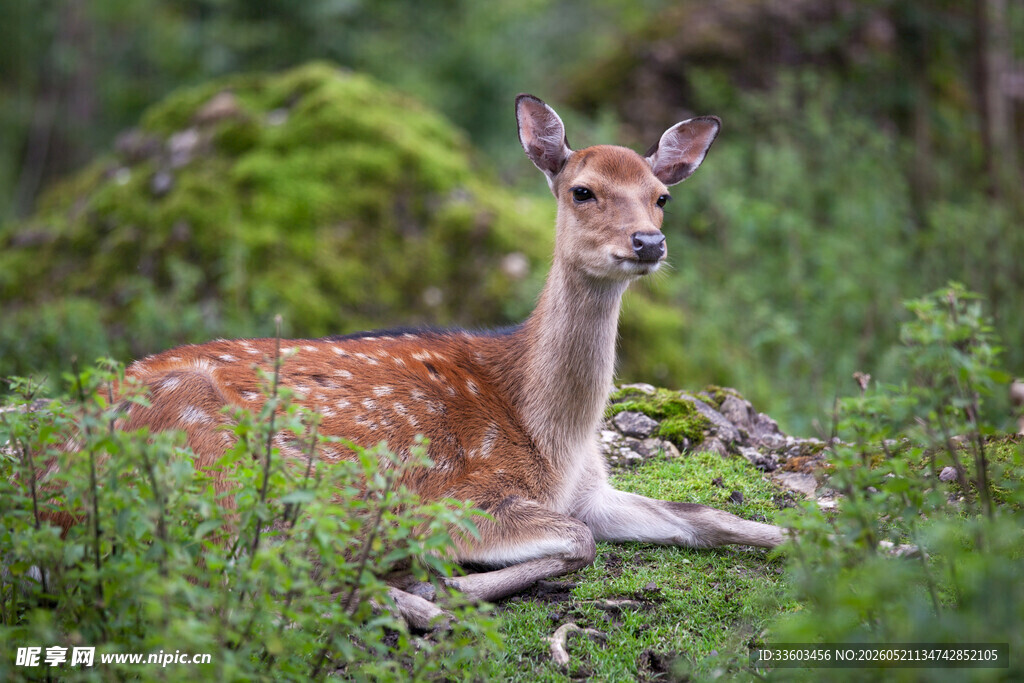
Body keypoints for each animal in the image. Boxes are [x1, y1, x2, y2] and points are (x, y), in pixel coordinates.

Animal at [103, 94, 783, 626]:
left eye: (662, 196)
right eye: (582, 191)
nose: (648, 241)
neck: (554, 434)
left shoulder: (593, 491)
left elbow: (710, 517)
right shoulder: (467, 494)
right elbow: (579, 540)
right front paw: (446, 580)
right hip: (243, 469)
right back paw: (407, 592)